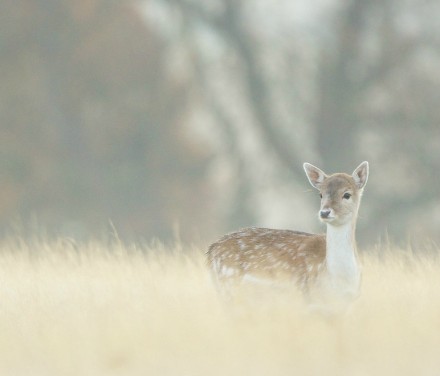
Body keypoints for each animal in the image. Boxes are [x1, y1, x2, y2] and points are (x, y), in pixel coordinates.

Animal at [206, 162, 368, 312]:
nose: (324, 212)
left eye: (347, 194)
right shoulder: (309, 299)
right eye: (320, 194)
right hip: (230, 286)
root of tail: (211, 250)